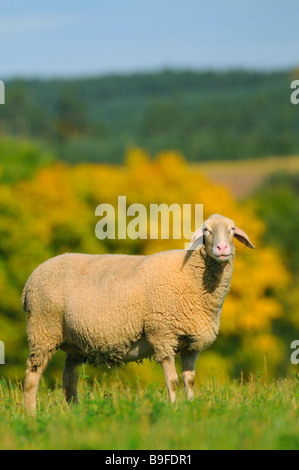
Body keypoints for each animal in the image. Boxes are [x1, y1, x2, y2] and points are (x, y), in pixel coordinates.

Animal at [21, 213, 255, 412]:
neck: (192, 277)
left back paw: (75, 412)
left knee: (69, 379)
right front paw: (174, 407)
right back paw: (31, 414)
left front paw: (190, 406)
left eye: (232, 229)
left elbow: (189, 380)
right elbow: (173, 381)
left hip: (74, 341)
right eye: (206, 230)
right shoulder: (162, 334)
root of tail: (30, 281)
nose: (222, 247)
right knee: (32, 376)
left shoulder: (190, 343)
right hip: (43, 330)